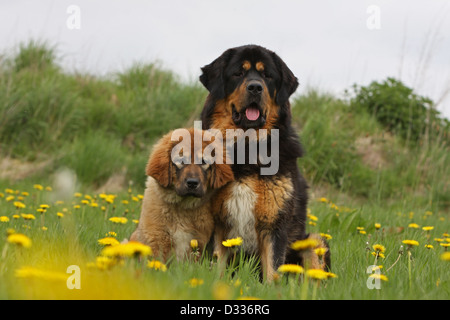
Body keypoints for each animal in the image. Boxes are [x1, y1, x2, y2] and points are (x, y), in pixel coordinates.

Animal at [130, 129, 234, 262]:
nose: (192, 183)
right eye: (181, 161)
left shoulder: (197, 242)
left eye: (203, 162)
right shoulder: (156, 238)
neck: (182, 207)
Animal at [200, 45, 330, 280]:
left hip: (313, 241)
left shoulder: (274, 223)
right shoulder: (217, 222)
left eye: (267, 75)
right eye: (238, 73)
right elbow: (217, 266)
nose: (255, 87)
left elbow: (273, 269)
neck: (247, 148)